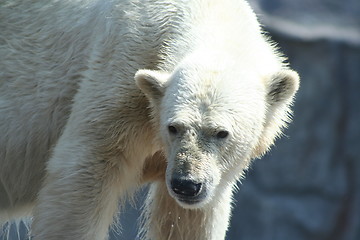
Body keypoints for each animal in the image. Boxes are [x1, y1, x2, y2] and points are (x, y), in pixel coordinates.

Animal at [0, 0, 298, 240]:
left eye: (222, 133)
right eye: (173, 127)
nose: (186, 184)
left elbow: (187, 219)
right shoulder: (121, 74)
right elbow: (82, 172)